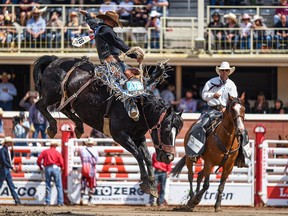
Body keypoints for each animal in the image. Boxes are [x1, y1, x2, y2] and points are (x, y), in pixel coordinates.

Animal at [33, 55, 182, 197]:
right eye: (166, 129)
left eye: (178, 132)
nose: (169, 157)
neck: (139, 107)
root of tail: (55, 60)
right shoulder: (120, 136)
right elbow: (139, 155)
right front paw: (145, 181)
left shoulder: (139, 137)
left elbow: (147, 157)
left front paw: (152, 185)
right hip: (52, 95)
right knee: (40, 104)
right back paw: (53, 127)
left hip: (66, 99)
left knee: (64, 109)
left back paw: (79, 127)